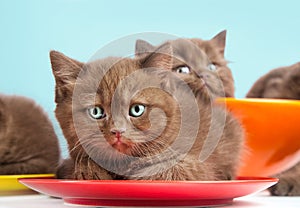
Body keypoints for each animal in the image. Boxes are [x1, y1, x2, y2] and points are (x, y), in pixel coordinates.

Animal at [51, 43, 244, 180]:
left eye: (137, 110)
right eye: (96, 112)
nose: (118, 131)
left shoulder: (197, 169)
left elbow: (169, 168)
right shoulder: (65, 166)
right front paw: (89, 170)